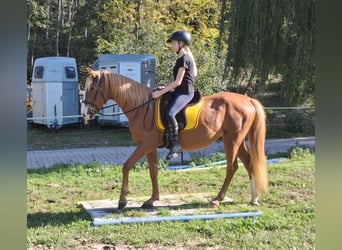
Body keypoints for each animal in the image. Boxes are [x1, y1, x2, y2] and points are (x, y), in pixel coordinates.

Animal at [81, 68, 268, 209]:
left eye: (91, 89)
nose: (84, 114)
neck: (143, 108)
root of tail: (248, 100)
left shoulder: (145, 144)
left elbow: (126, 166)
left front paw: (123, 200)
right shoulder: (150, 146)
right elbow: (153, 171)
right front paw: (152, 200)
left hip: (232, 141)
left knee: (232, 167)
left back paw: (218, 199)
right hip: (238, 140)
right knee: (249, 163)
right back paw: (254, 198)